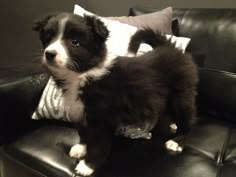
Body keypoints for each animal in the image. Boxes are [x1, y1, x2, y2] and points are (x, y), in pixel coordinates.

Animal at [33, 13, 197, 176]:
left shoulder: (102, 119)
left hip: (181, 96)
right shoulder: (79, 110)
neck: (81, 75)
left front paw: (87, 166)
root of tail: (169, 47)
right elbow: (84, 132)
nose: (49, 54)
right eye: (49, 38)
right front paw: (81, 148)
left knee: (187, 120)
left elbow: (98, 144)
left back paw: (177, 141)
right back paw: (172, 125)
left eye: (75, 42)